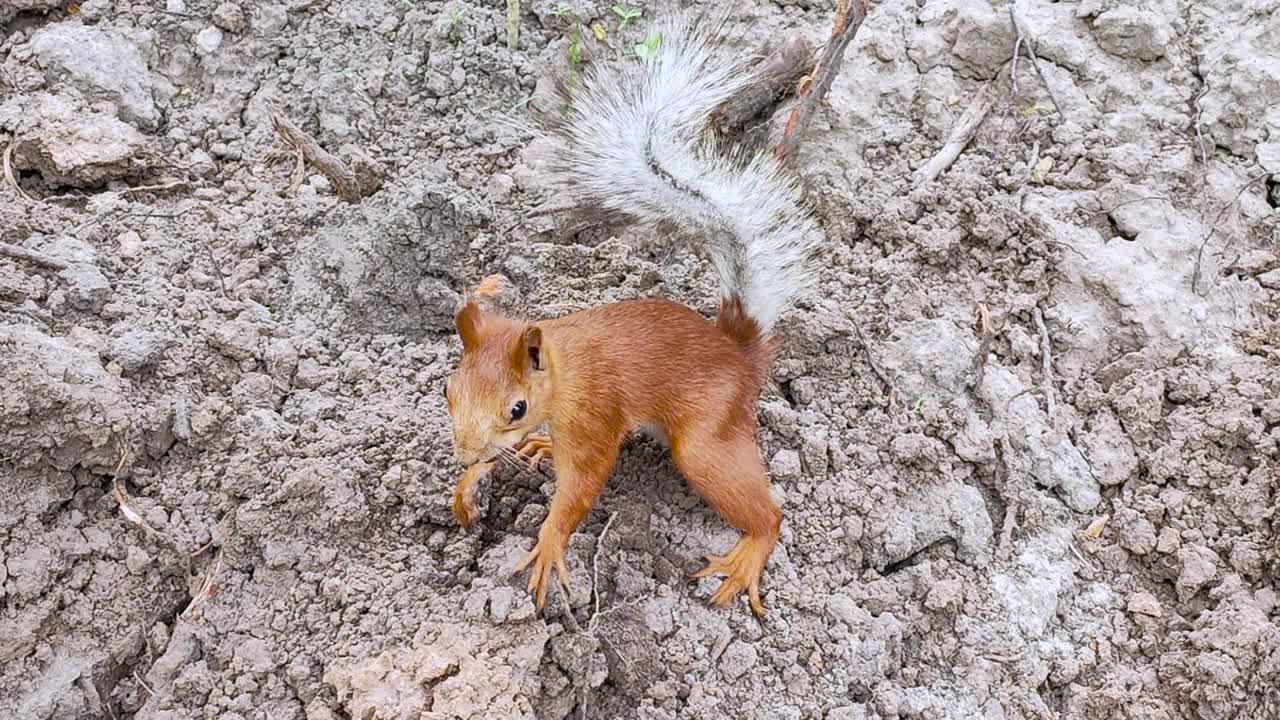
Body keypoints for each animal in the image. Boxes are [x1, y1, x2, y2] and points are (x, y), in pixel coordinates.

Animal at [442, 16, 819, 614]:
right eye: (448, 391)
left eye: (518, 406)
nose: (461, 452)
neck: (563, 367)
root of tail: (739, 350)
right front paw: (468, 483)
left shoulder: (593, 417)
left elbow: (584, 485)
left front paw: (548, 545)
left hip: (706, 440)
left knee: (769, 513)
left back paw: (747, 556)